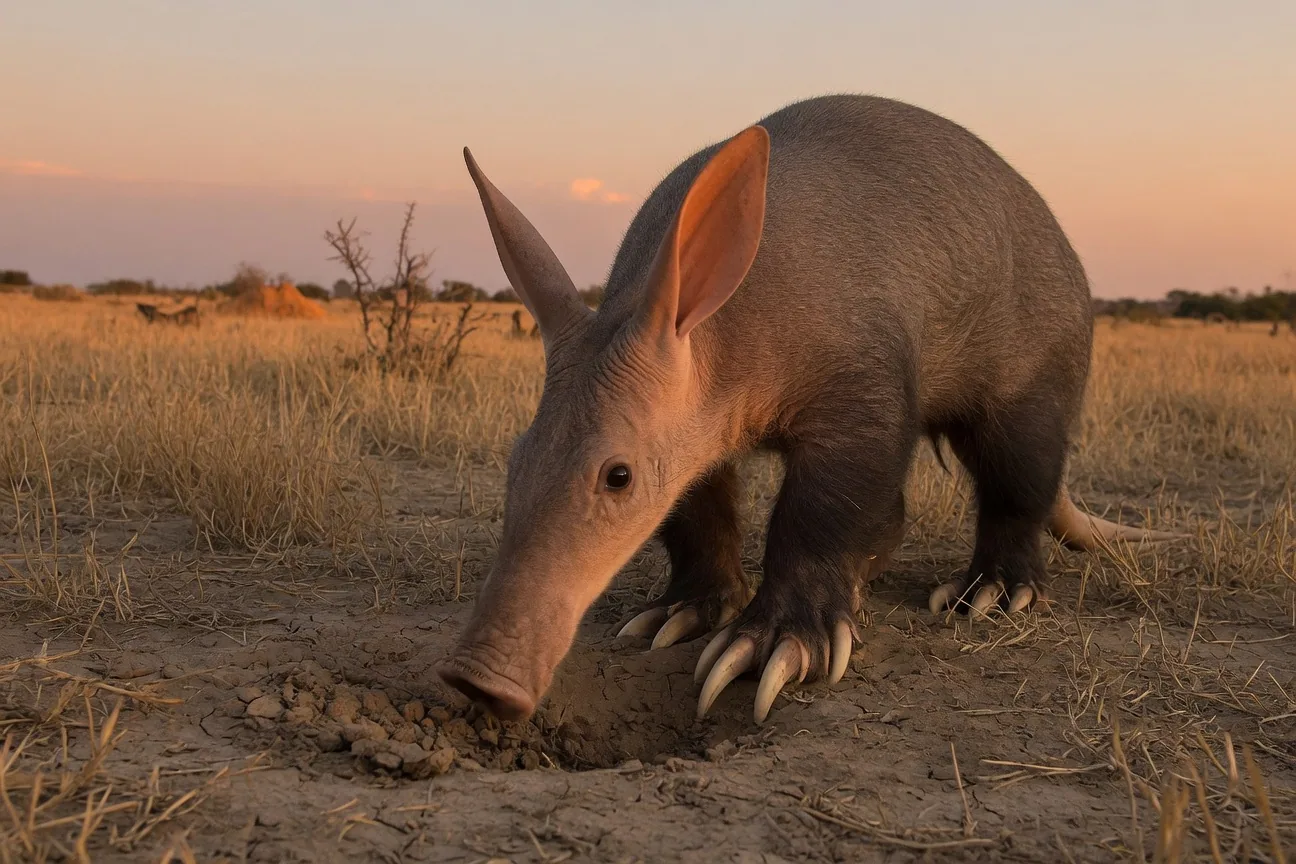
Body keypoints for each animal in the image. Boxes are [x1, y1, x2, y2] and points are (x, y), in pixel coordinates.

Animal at [438, 94, 1179, 725]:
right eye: (515, 460)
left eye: (617, 476)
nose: (477, 679)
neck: (717, 332)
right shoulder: (693, 431)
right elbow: (696, 504)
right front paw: (682, 612)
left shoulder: (859, 383)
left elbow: (829, 501)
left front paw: (773, 645)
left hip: (1040, 360)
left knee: (1019, 474)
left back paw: (994, 591)